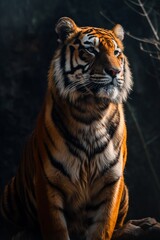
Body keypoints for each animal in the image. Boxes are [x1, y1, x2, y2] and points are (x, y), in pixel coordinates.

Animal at [0, 16, 158, 240]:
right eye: (91, 50)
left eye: (116, 52)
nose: (115, 71)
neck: (92, 113)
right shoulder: (48, 182)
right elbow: (56, 230)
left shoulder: (112, 181)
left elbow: (104, 228)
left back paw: (146, 225)